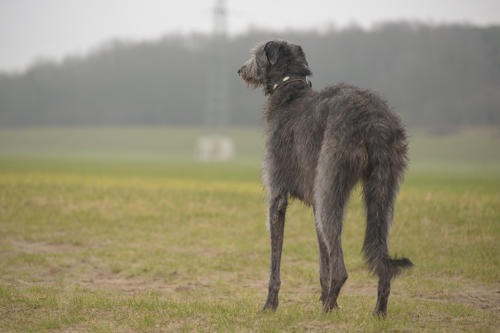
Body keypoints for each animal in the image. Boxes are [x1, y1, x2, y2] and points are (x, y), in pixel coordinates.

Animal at [238, 39, 414, 316]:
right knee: (380, 259)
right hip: (382, 189)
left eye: (256, 55)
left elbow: (275, 260)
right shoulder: (315, 202)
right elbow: (323, 260)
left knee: (341, 269)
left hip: (332, 178)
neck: (290, 89)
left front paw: (270, 305)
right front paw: (326, 300)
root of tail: (373, 119)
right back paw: (376, 311)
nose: (240, 70)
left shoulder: (277, 197)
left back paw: (326, 312)